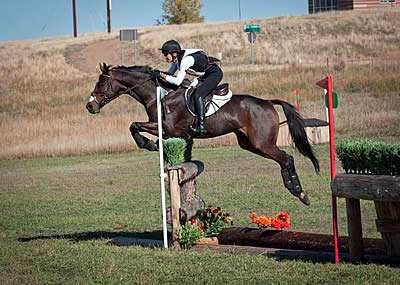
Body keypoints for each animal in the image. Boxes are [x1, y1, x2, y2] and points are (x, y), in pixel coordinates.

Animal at [86, 62, 318, 204]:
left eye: (101, 82)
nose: (89, 106)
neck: (158, 94)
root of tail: (268, 102)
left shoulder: (166, 129)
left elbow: (134, 126)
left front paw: (149, 144)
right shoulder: (162, 128)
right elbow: (135, 127)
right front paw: (152, 145)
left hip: (262, 143)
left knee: (287, 158)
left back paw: (300, 192)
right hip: (251, 144)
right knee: (282, 160)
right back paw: (293, 189)